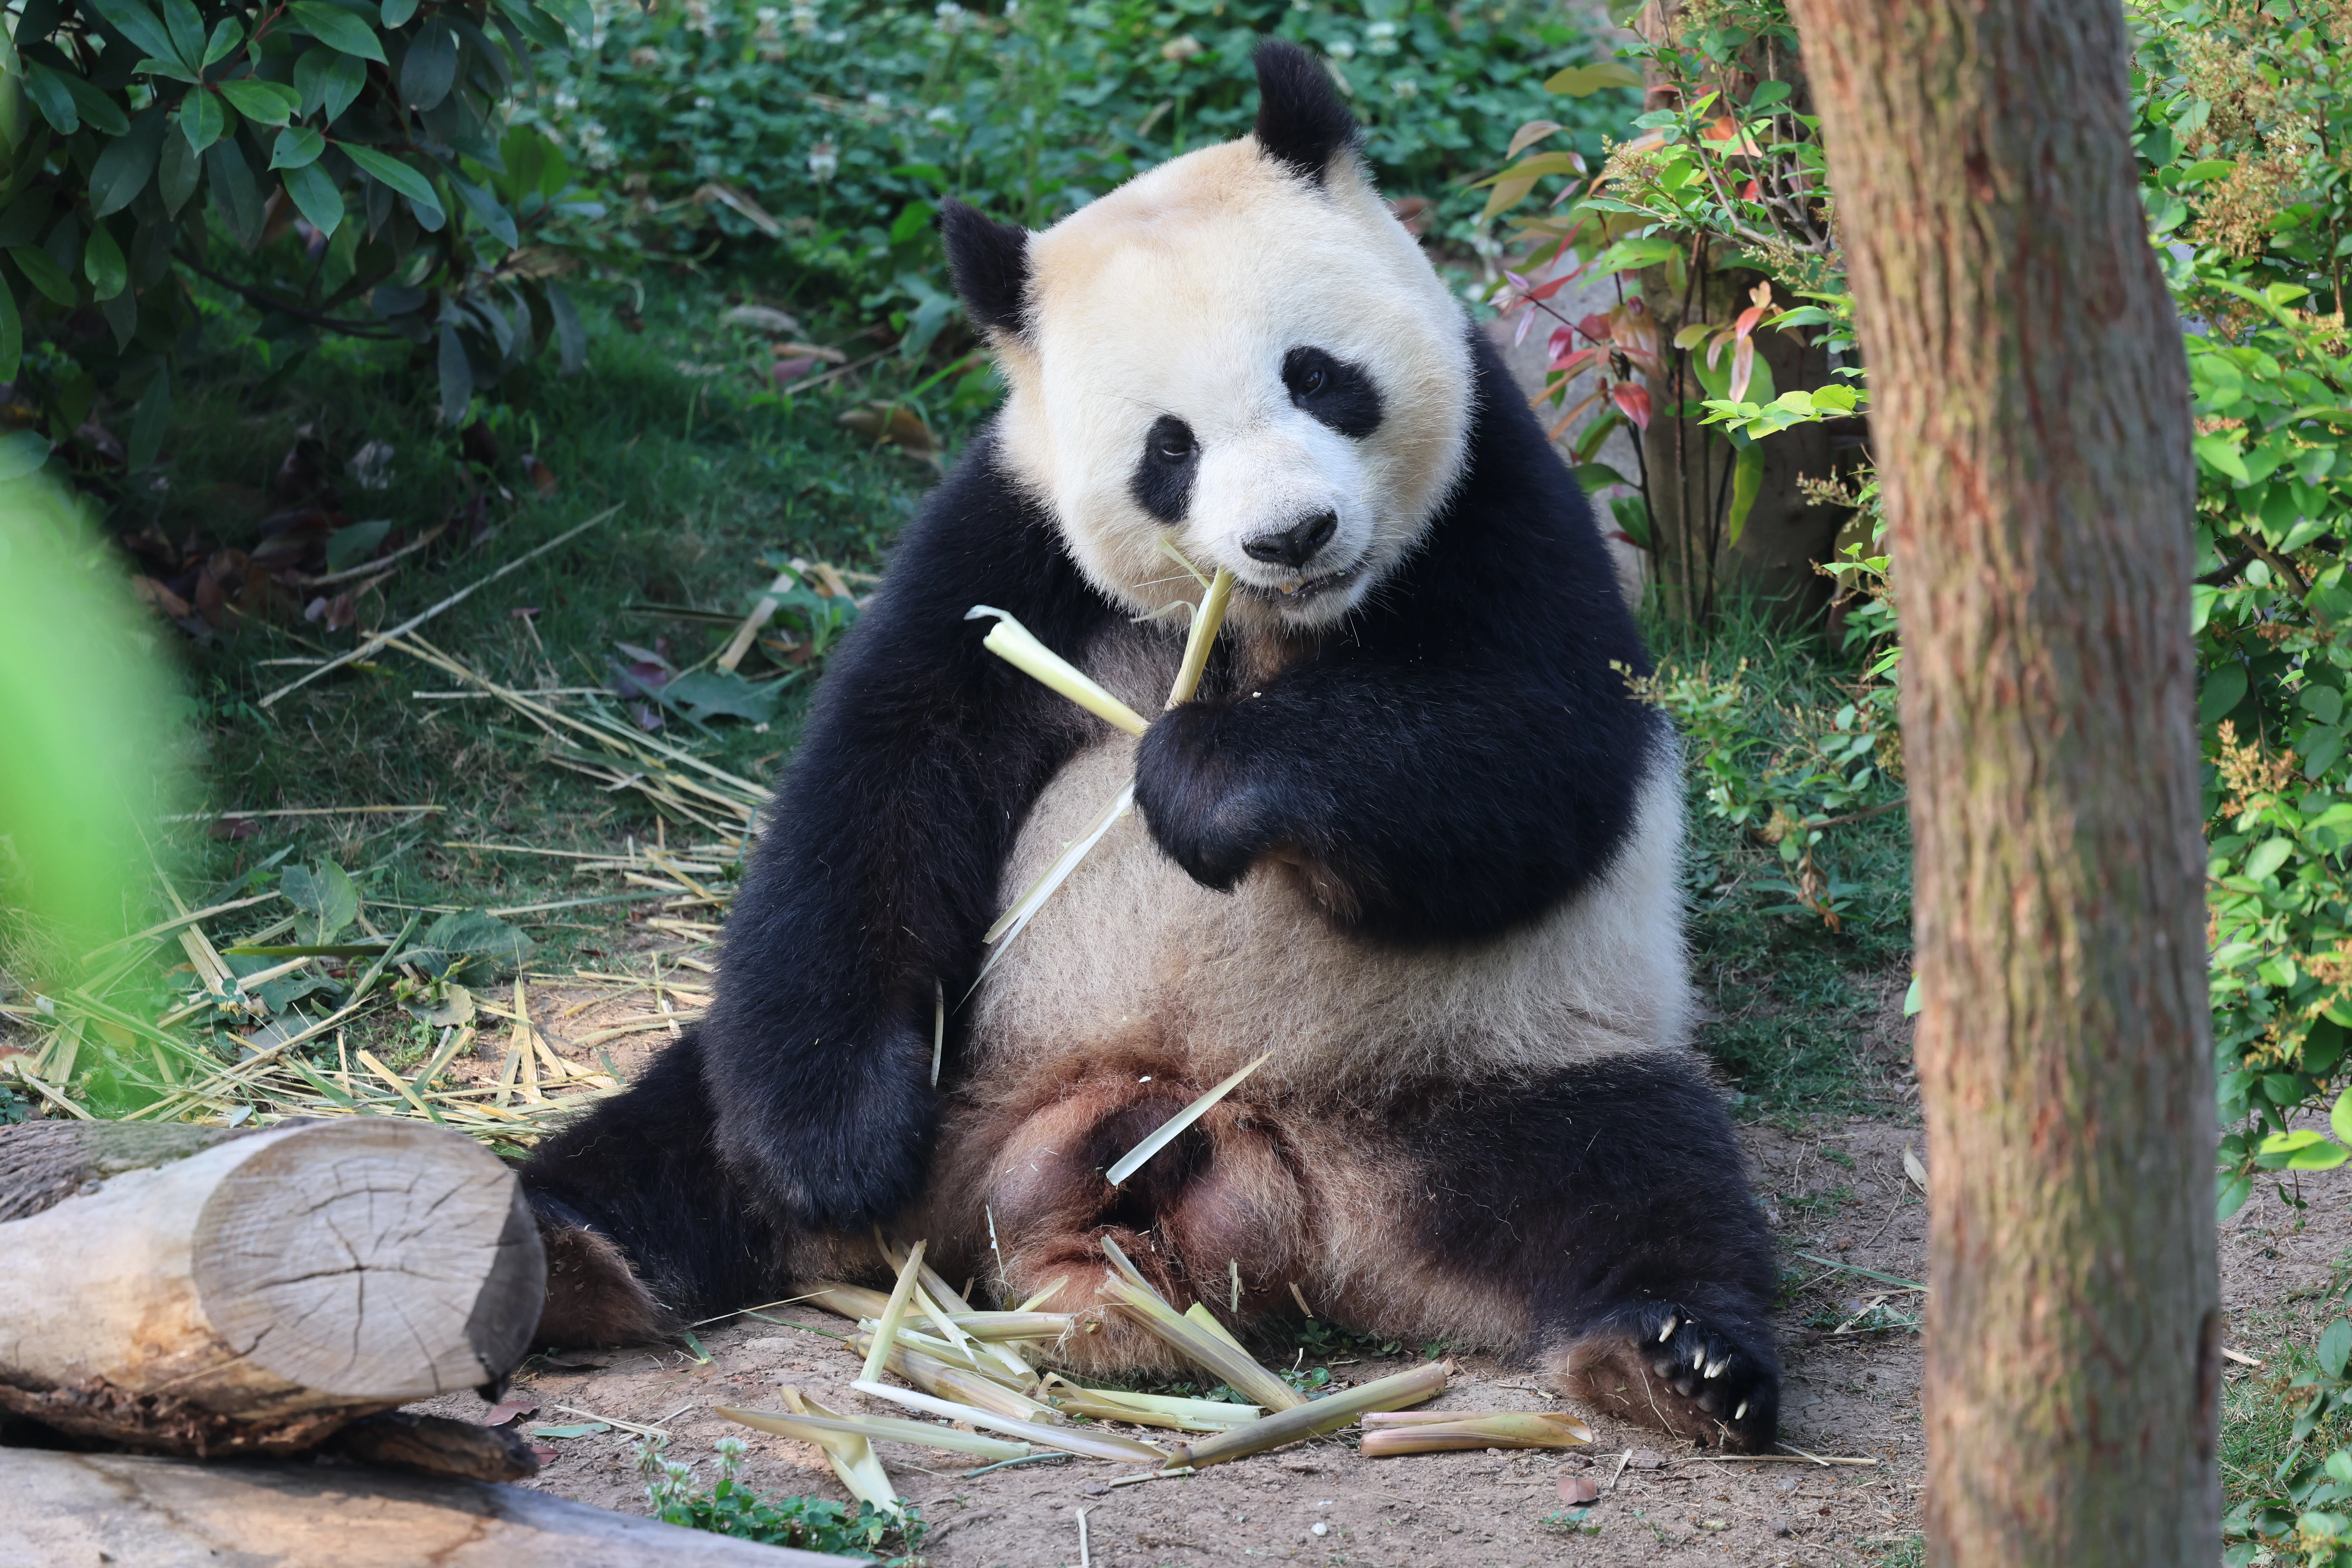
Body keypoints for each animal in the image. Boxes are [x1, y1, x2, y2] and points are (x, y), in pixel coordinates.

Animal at [522, 39, 1781, 1451]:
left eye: (1317, 375)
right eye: (1166, 447)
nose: (1291, 534)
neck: (1275, 627)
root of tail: (1209, 1161)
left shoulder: (1497, 491)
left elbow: (1537, 750)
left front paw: (1202, 781)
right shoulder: (1006, 538)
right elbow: (881, 778)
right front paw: (834, 1151)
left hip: (1487, 1067)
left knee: (1633, 1172)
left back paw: (1675, 1358)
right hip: (973, 1055)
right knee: (680, 1130)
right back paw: (563, 1257)